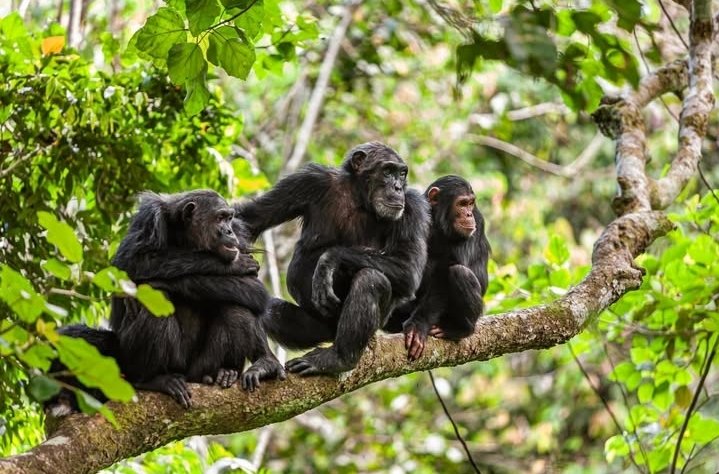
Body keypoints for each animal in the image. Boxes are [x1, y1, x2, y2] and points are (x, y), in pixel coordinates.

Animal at [236, 143, 430, 376]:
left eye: (401, 174)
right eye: (387, 171)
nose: (398, 187)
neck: (359, 198)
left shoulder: (413, 207)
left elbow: (407, 266)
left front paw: (328, 261)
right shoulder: (308, 181)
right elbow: (250, 219)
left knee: (371, 279)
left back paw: (338, 358)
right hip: (317, 329)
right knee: (267, 309)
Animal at [386, 176, 492, 362]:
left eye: (470, 204)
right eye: (462, 204)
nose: (469, 214)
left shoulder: (477, 221)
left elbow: (445, 271)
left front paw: (418, 326)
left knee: (459, 273)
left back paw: (459, 329)